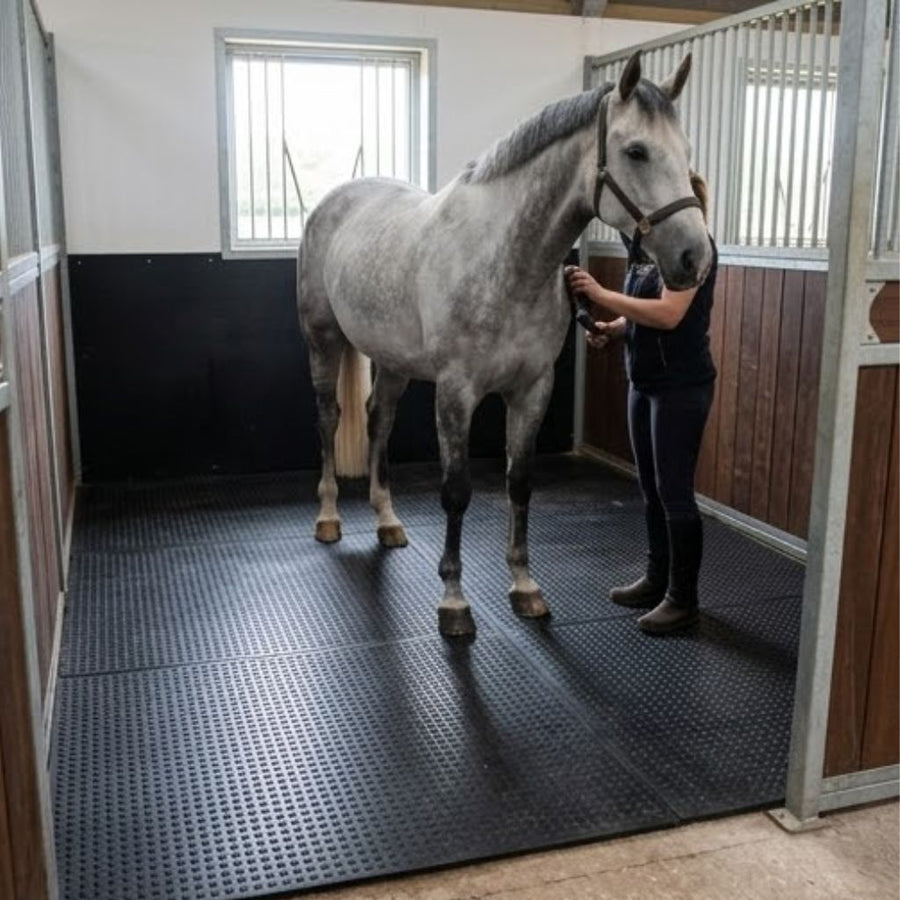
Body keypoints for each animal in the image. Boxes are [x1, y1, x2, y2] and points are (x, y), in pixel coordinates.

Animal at [296, 50, 712, 638]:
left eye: (686, 153)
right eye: (636, 151)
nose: (694, 259)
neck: (506, 259)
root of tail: (334, 202)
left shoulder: (532, 389)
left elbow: (519, 483)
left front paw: (524, 587)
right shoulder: (457, 392)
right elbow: (456, 490)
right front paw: (453, 602)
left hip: (392, 358)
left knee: (379, 420)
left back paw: (388, 520)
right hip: (323, 339)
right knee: (329, 417)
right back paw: (329, 517)